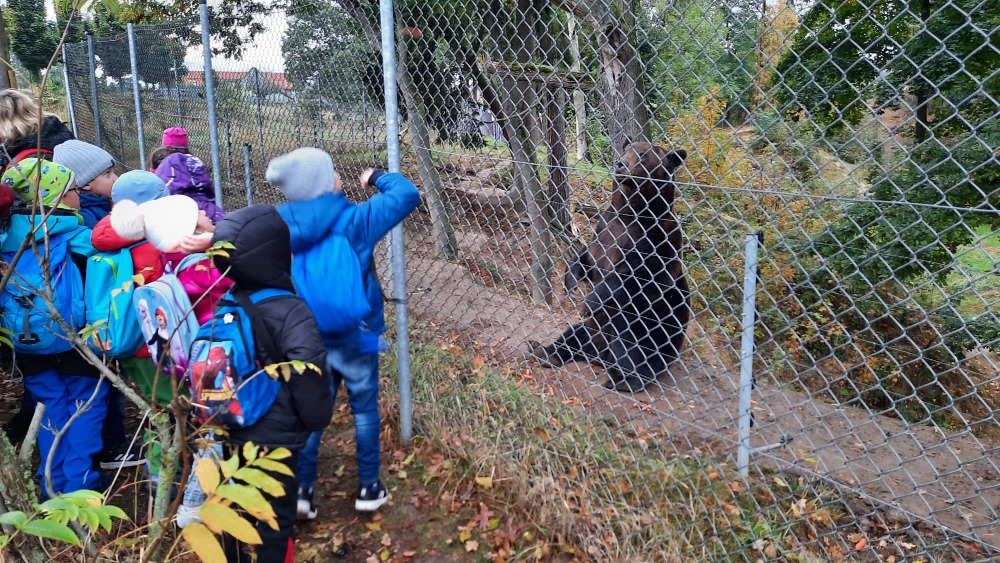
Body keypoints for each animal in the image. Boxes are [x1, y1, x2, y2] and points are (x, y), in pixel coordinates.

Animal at [530, 141, 690, 392]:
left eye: (643, 154)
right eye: (625, 150)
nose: (620, 164)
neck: (631, 214)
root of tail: (599, 357)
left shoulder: (658, 241)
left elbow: (639, 277)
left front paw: (591, 301)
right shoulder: (605, 229)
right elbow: (586, 260)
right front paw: (570, 283)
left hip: (648, 330)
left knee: (632, 348)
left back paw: (624, 380)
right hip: (592, 331)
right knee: (573, 334)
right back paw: (545, 351)